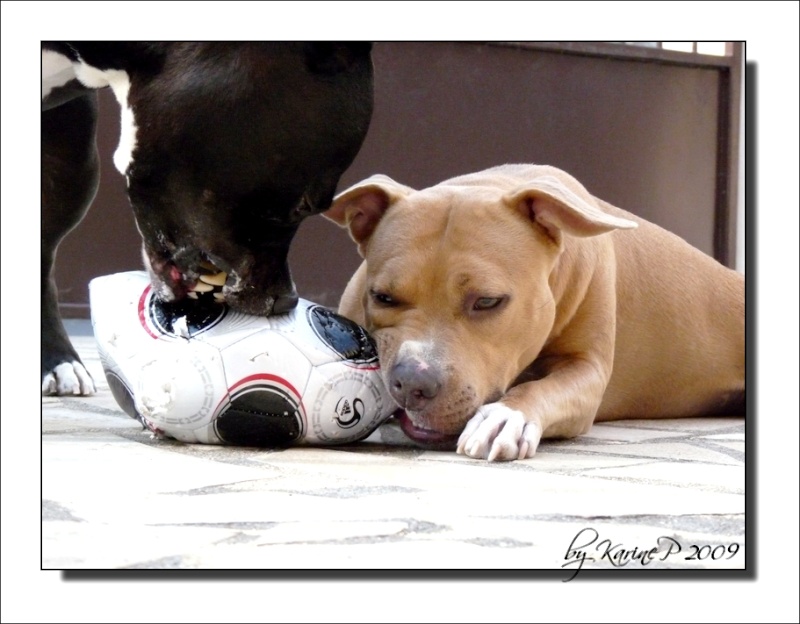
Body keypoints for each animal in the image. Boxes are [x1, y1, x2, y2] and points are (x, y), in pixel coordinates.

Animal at [322, 163, 748, 460]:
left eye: (488, 301)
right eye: (383, 297)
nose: (412, 383)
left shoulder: (587, 369)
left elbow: (543, 387)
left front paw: (504, 417)